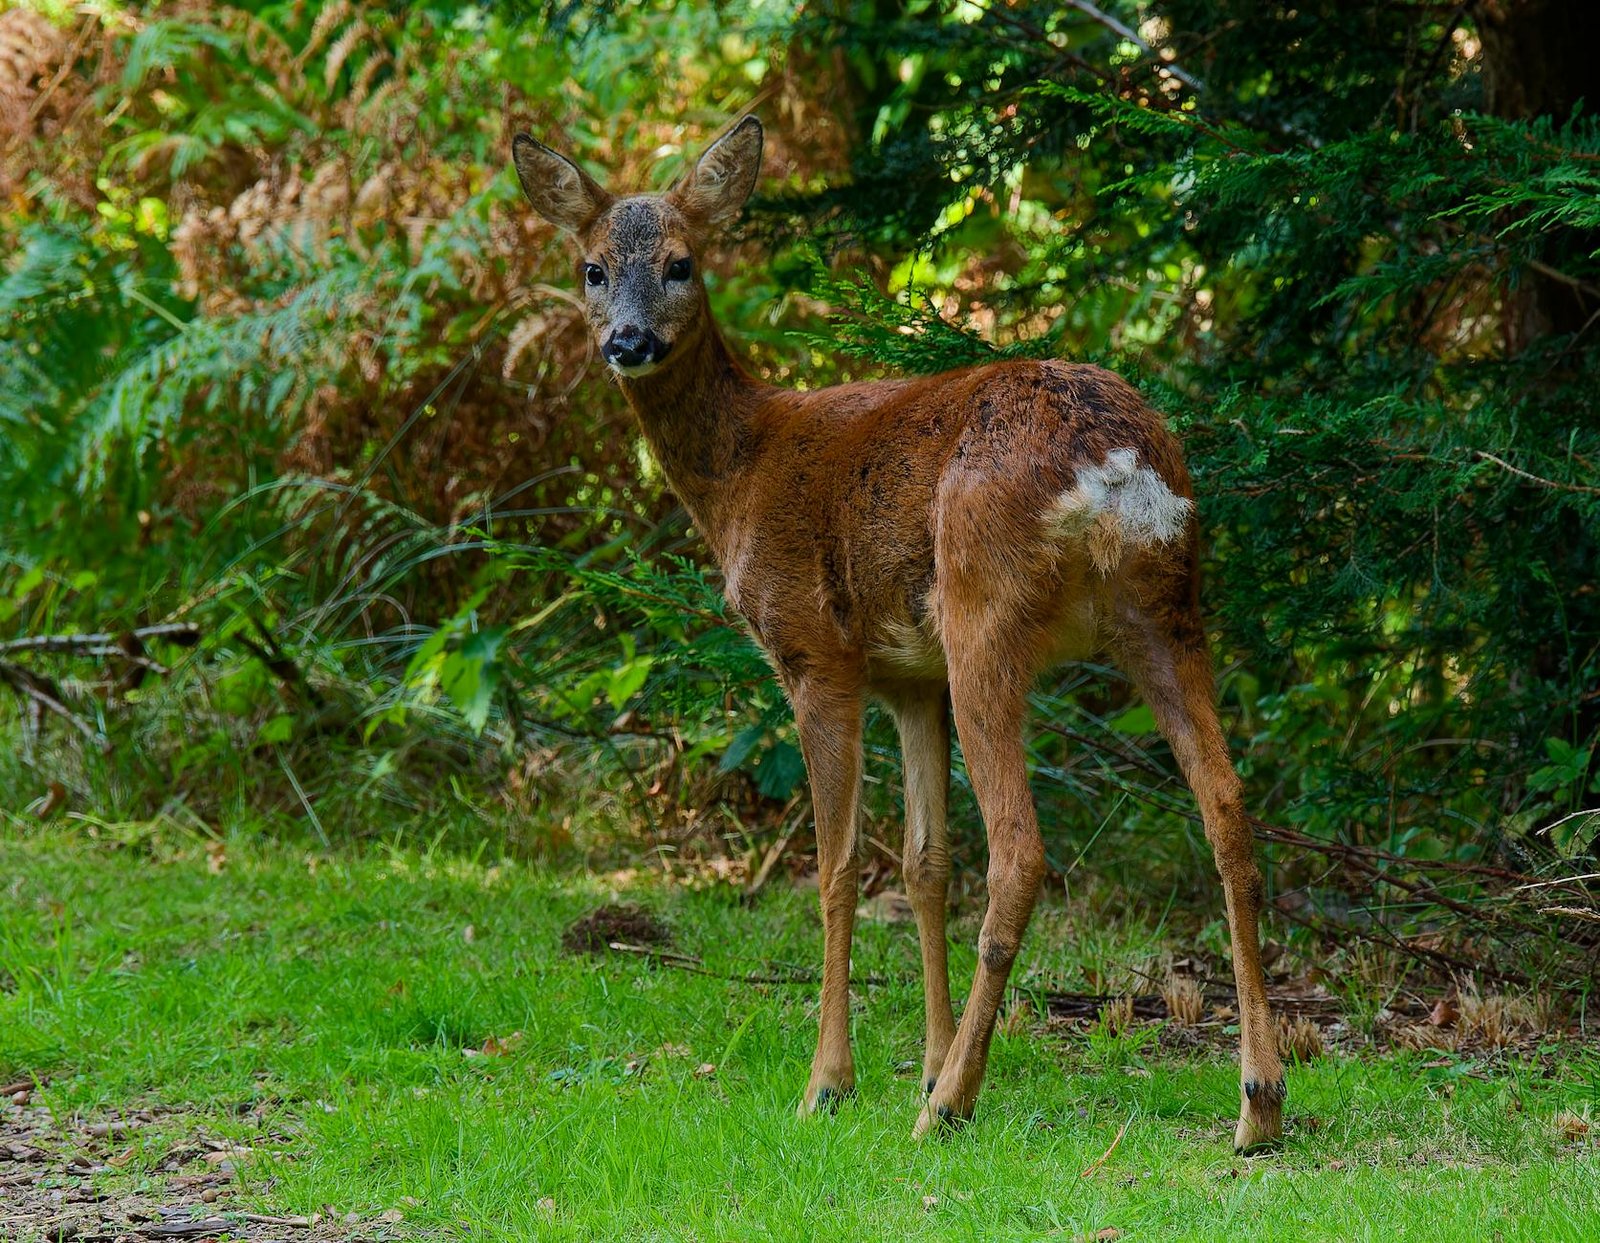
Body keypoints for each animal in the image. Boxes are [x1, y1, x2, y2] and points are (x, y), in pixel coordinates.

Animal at [511, 115, 1285, 1152]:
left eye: (681, 261)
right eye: (592, 268)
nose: (629, 341)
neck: (741, 471)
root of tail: (1116, 464)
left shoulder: (817, 653)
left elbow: (837, 868)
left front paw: (832, 1082)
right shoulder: (910, 679)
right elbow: (924, 866)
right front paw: (919, 1060)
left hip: (984, 613)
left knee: (1021, 849)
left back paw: (952, 1104)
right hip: (1169, 609)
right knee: (1229, 811)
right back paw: (1258, 1102)